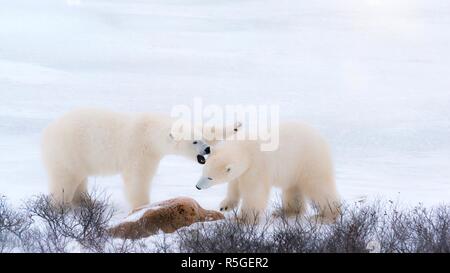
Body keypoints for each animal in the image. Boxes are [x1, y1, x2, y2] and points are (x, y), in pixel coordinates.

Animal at [40, 107, 241, 207]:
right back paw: (60, 206)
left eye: (202, 138)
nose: (207, 149)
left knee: (80, 178)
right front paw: (143, 206)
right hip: (68, 151)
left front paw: (236, 125)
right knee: (64, 180)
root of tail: (47, 132)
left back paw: (86, 201)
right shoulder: (140, 150)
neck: (149, 132)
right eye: (194, 141)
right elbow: (137, 179)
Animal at [195, 121, 340, 221]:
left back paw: (326, 215)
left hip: (309, 160)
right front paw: (225, 205)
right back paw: (286, 212)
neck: (245, 149)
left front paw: (243, 218)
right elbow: (234, 185)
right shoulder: (243, 170)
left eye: (210, 178)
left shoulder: (257, 166)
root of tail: (321, 138)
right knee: (294, 189)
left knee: (318, 186)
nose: (197, 187)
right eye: (203, 172)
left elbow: (254, 192)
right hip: (294, 168)